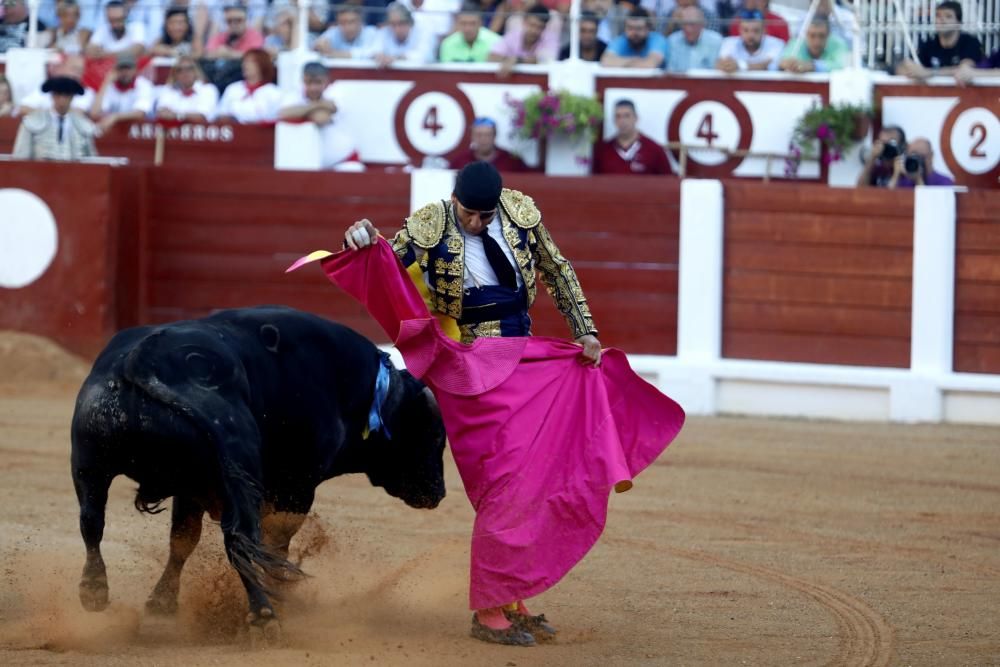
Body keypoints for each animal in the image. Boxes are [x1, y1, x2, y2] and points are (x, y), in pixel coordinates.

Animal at [70, 306, 446, 628]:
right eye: (434, 436)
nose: (438, 493)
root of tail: (144, 361)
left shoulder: (190, 486)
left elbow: (183, 540)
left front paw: (161, 604)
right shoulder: (296, 484)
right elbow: (275, 541)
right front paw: (282, 593)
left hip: (88, 462)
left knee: (92, 522)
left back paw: (93, 591)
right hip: (239, 468)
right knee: (239, 539)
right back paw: (264, 615)